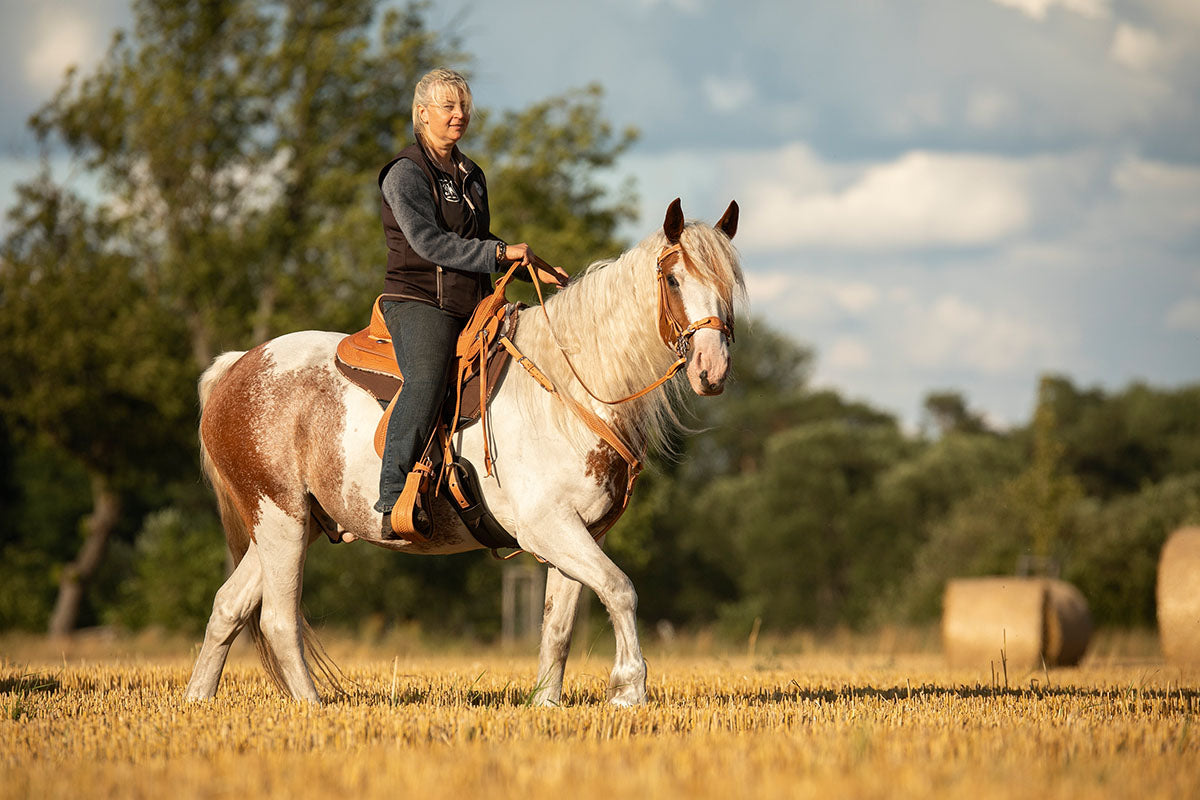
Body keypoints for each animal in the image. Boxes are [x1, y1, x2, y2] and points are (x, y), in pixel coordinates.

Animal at [182, 200, 744, 705]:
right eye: (673, 280)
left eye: (728, 285)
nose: (712, 370)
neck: (567, 391)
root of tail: (236, 367)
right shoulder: (548, 527)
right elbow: (621, 588)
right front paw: (629, 690)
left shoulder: (580, 533)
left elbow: (558, 626)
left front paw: (547, 704)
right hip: (280, 519)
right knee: (278, 620)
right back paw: (311, 707)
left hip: (294, 525)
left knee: (228, 607)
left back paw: (198, 701)